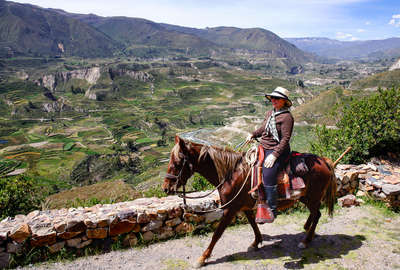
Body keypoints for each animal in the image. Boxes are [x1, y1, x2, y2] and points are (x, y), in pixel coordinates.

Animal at [162, 136, 334, 266]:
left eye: (177, 163)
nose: (166, 188)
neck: (231, 175)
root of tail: (324, 161)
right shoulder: (244, 206)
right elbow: (253, 224)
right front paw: (256, 242)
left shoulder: (230, 209)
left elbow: (217, 234)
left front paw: (203, 258)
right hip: (306, 197)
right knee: (315, 213)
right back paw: (307, 230)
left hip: (312, 197)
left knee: (317, 214)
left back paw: (306, 240)